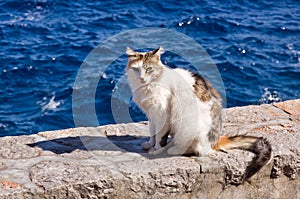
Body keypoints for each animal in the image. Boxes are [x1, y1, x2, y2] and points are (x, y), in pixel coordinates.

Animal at [124, 46, 272, 180]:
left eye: (149, 69)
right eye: (136, 69)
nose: (142, 78)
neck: (147, 87)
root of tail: (216, 140)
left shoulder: (162, 114)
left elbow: (160, 137)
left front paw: (156, 150)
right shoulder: (151, 115)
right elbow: (152, 133)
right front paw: (149, 144)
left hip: (188, 124)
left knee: (196, 149)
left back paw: (173, 149)